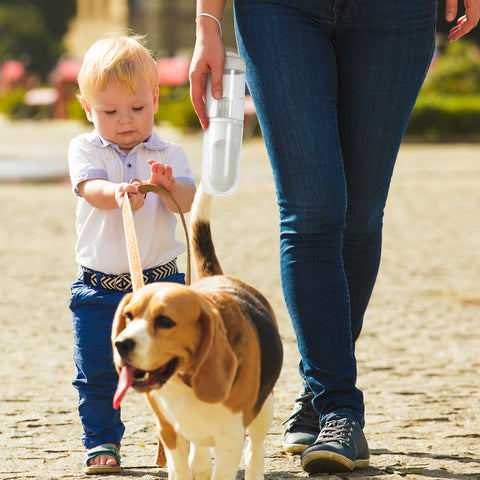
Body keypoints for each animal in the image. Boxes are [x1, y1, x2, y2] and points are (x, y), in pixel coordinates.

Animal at [111, 188, 284, 480]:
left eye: (165, 321)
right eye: (129, 316)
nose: (121, 344)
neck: (184, 381)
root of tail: (217, 277)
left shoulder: (230, 438)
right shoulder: (169, 431)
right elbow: (182, 468)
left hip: (265, 408)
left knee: (254, 451)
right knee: (200, 456)